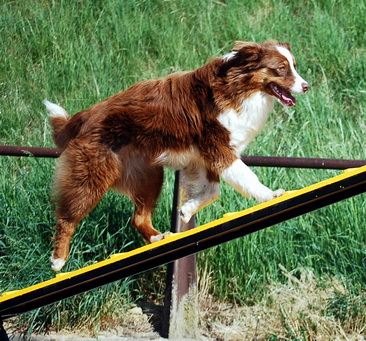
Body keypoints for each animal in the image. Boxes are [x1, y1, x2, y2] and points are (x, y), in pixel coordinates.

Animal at [45, 39, 308, 270]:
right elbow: (246, 178)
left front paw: (187, 209)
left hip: (149, 175)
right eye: (282, 69)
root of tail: (84, 116)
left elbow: (213, 191)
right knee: (67, 218)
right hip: (94, 175)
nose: (306, 86)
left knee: (138, 218)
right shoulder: (218, 147)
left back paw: (156, 238)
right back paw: (58, 260)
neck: (239, 87)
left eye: (294, 65)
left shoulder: (203, 158)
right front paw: (270, 195)